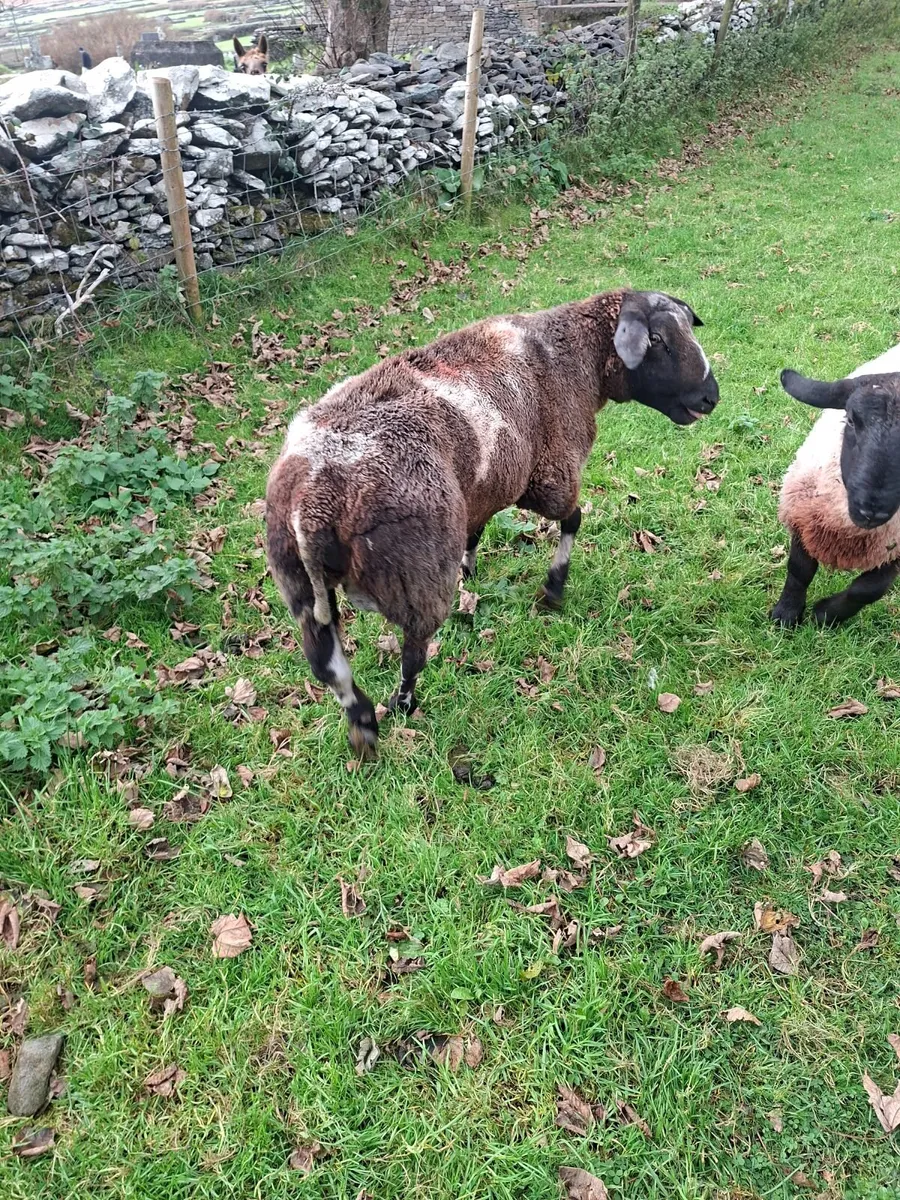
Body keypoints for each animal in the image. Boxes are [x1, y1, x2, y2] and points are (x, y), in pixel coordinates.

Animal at [265, 288, 720, 758]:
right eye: (658, 340)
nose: (711, 397)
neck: (575, 355)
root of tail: (313, 506)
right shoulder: (550, 473)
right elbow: (573, 519)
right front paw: (554, 587)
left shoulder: (483, 491)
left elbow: (477, 532)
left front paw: (472, 570)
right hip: (416, 574)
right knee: (412, 651)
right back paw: (403, 703)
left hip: (297, 581)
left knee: (328, 666)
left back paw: (363, 725)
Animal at [771, 342, 900, 627]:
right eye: (850, 419)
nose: (872, 511)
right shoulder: (804, 517)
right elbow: (799, 570)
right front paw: (786, 614)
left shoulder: (894, 550)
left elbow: (868, 590)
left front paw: (825, 614)